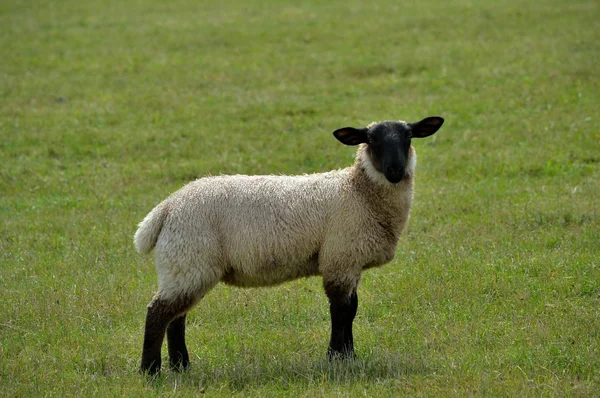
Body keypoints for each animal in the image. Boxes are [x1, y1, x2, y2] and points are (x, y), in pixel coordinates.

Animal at [134, 115, 442, 374]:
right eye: (372, 140)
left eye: (408, 137)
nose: (395, 170)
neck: (357, 191)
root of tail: (165, 209)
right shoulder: (340, 258)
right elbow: (341, 311)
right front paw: (336, 357)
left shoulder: (349, 261)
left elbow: (352, 309)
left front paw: (349, 356)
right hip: (189, 259)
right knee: (158, 313)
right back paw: (151, 371)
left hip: (184, 265)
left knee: (176, 318)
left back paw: (181, 366)